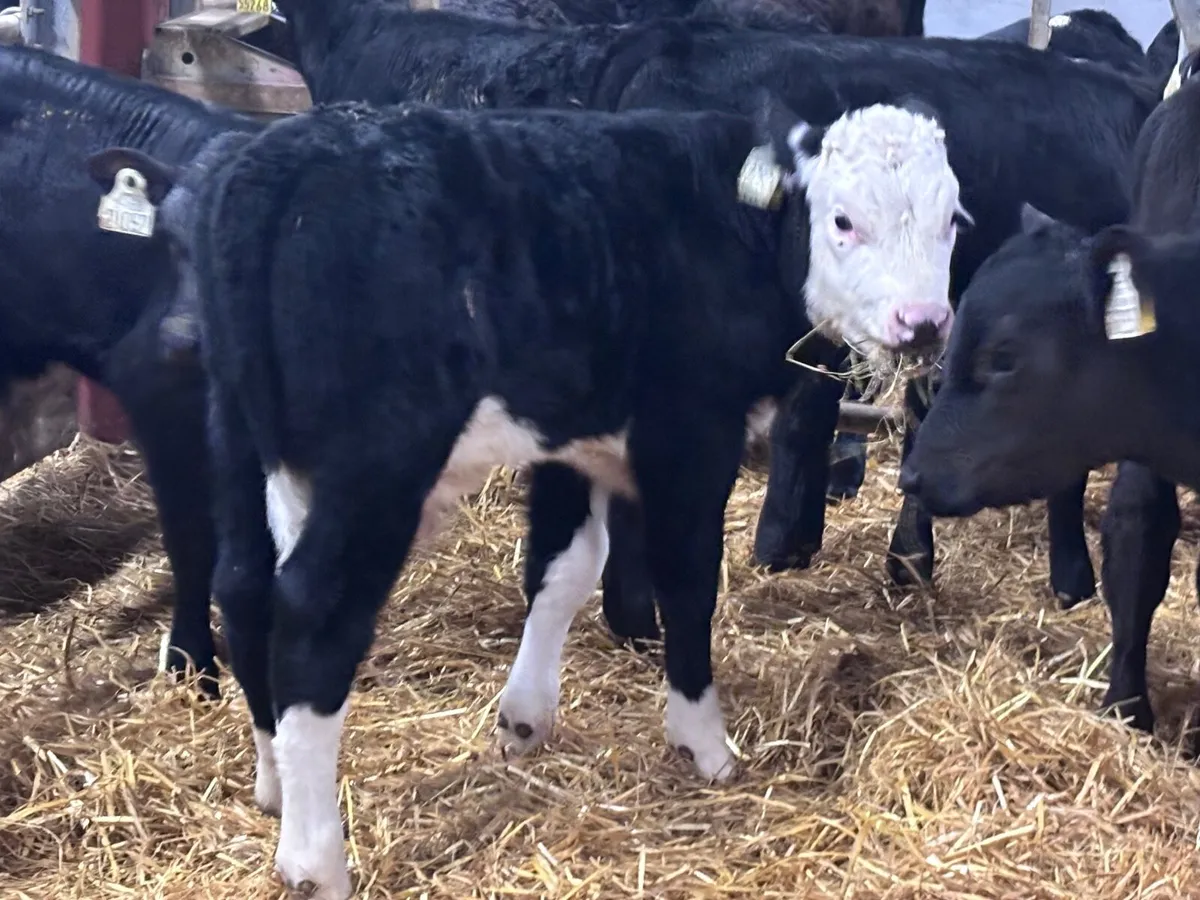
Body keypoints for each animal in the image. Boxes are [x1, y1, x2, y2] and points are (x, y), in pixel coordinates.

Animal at [90, 95, 967, 898]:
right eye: (843, 221)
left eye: (952, 219)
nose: (924, 323)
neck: (724, 223)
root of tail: (281, 160)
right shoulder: (689, 431)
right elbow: (686, 582)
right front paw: (703, 740)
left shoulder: (576, 440)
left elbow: (563, 567)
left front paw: (524, 717)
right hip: (376, 464)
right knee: (309, 616)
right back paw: (314, 859)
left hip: (236, 432)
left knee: (242, 587)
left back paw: (273, 783)